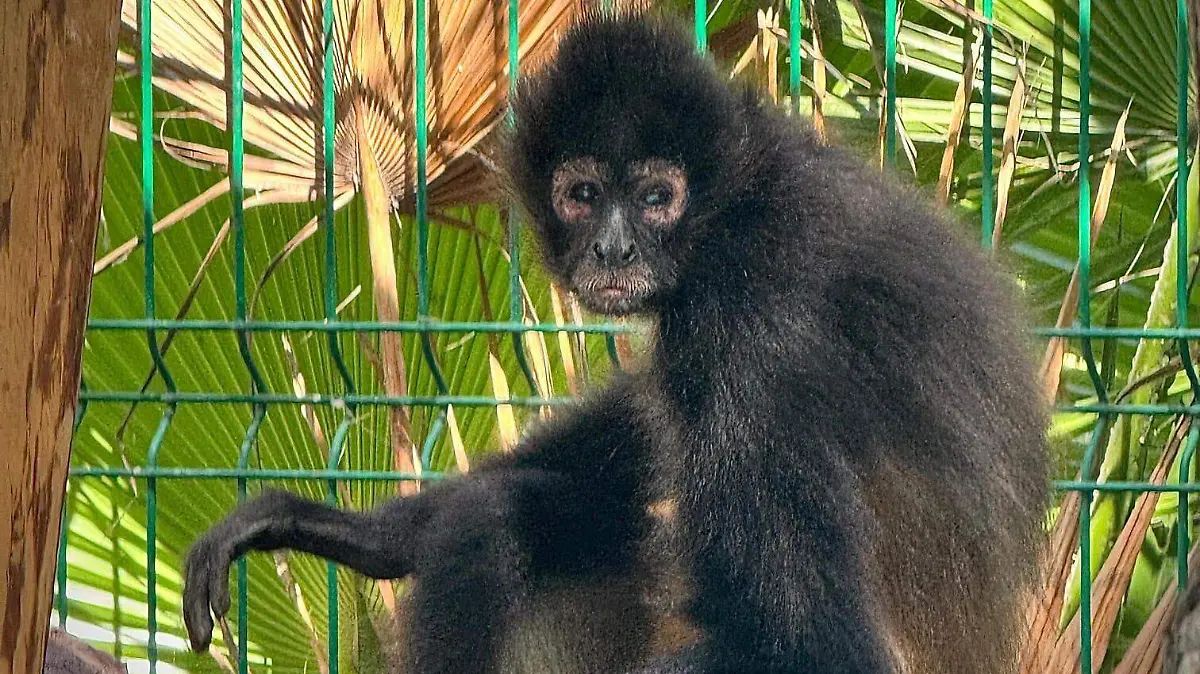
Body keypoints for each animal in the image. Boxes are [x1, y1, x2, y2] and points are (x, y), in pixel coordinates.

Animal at [181, 9, 1050, 674]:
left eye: (658, 198)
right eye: (584, 194)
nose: (614, 249)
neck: (741, 200)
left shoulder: (754, 318)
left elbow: (816, 649)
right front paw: (367, 532)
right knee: (507, 512)